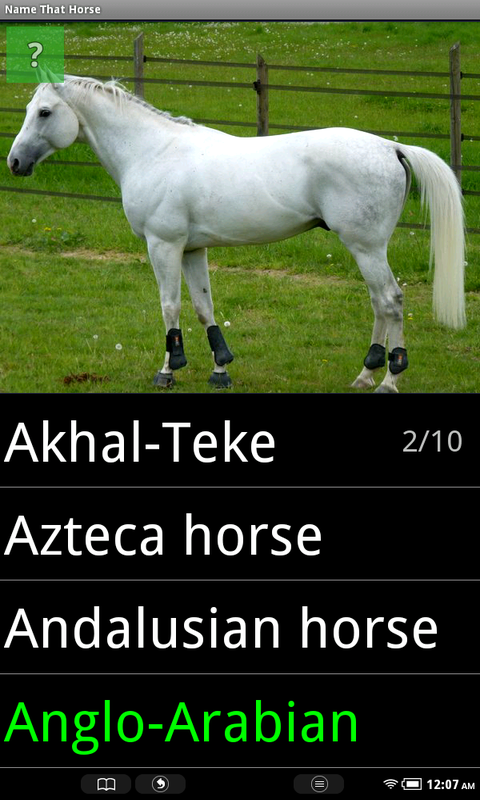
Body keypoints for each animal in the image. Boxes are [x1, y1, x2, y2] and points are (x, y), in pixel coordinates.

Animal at [7, 74, 466, 393]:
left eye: (44, 112)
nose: (14, 161)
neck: (153, 151)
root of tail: (391, 147)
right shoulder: (192, 250)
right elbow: (203, 308)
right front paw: (220, 369)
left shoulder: (164, 246)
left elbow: (170, 307)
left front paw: (167, 371)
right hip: (367, 249)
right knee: (379, 304)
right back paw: (365, 374)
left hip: (366, 247)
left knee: (390, 300)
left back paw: (389, 379)